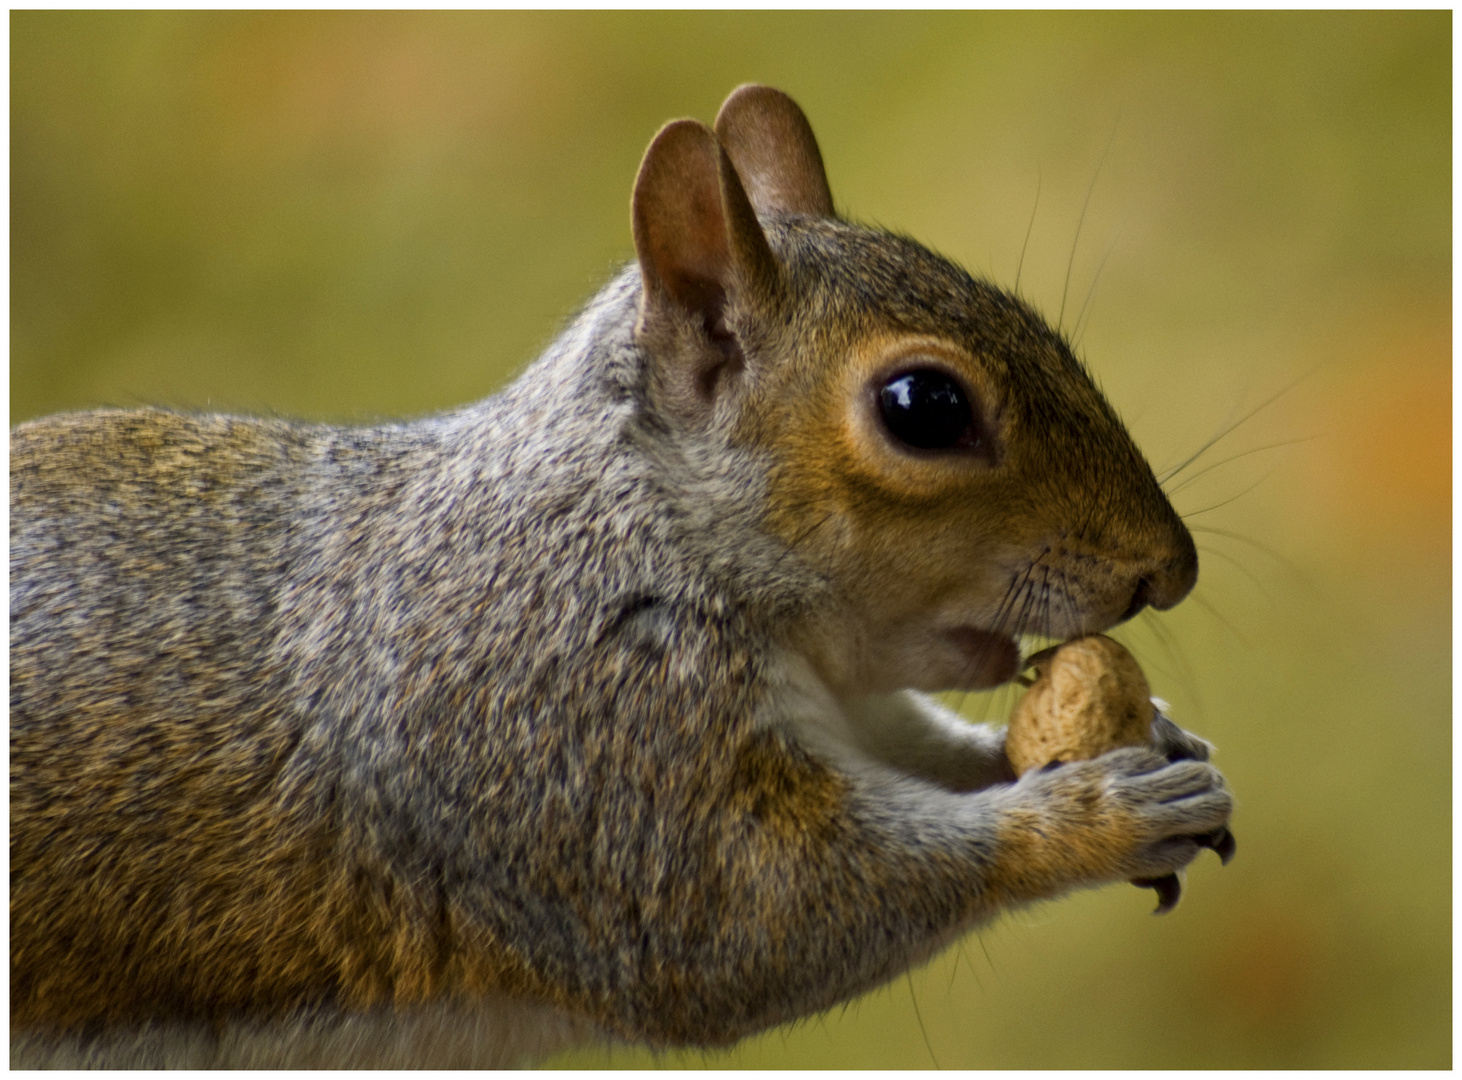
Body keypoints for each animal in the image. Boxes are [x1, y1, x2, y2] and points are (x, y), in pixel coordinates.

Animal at [11, 84, 1233, 1063]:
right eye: (922, 406)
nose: (1167, 571)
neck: (639, 526)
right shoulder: (575, 738)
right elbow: (752, 922)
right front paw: (1094, 816)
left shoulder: (845, 707)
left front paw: (1156, 746)